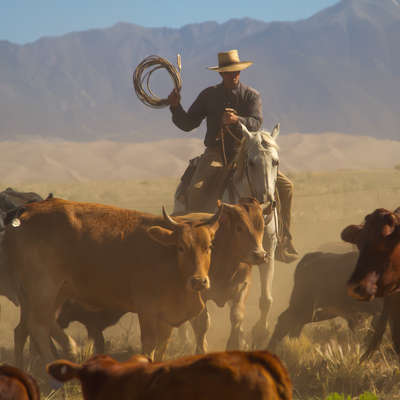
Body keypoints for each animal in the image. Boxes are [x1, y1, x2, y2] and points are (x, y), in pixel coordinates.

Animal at [2, 197, 222, 368]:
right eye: (181, 247)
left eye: (209, 246)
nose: (199, 281)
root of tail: (27, 213)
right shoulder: (147, 310)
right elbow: (149, 345)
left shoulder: (166, 318)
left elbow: (162, 347)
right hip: (43, 288)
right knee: (38, 324)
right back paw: (63, 356)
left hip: (51, 292)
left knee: (28, 327)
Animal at [173, 123, 280, 352]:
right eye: (251, 162)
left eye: (275, 161)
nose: (268, 202)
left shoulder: (268, 249)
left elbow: (264, 298)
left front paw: (258, 334)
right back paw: (185, 340)